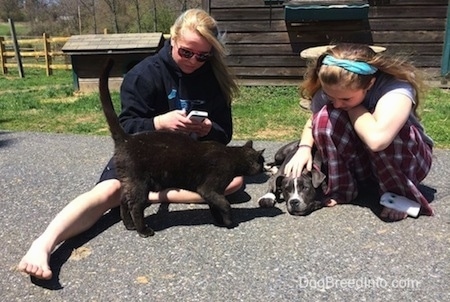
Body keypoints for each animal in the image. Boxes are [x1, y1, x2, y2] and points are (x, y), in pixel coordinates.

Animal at [98, 60, 264, 237]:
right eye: (261, 162)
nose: (265, 167)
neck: (232, 156)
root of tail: (127, 139)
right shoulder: (210, 188)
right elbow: (225, 204)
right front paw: (229, 223)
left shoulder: (209, 193)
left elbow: (215, 206)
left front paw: (219, 221)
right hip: (140, 184)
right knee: (135, 206)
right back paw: (143, 230)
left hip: (129, 183)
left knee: (123, 201)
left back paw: (129, 226)